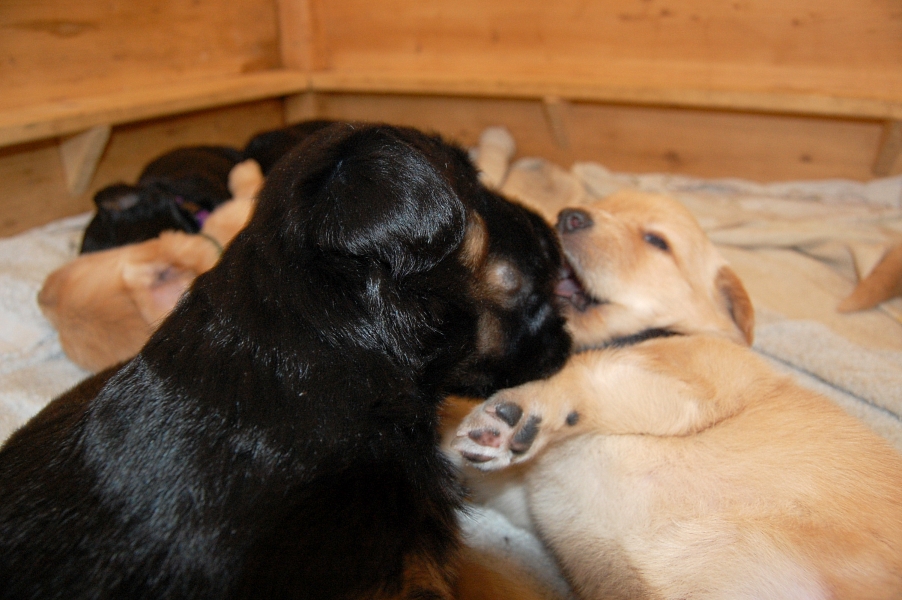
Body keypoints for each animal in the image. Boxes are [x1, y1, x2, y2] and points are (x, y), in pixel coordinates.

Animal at [442, 189, 754, 530]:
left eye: (657, 241)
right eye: (600, 205)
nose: (568, 217)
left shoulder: (699, 383)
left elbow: (592, 369)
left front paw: (516, 414)